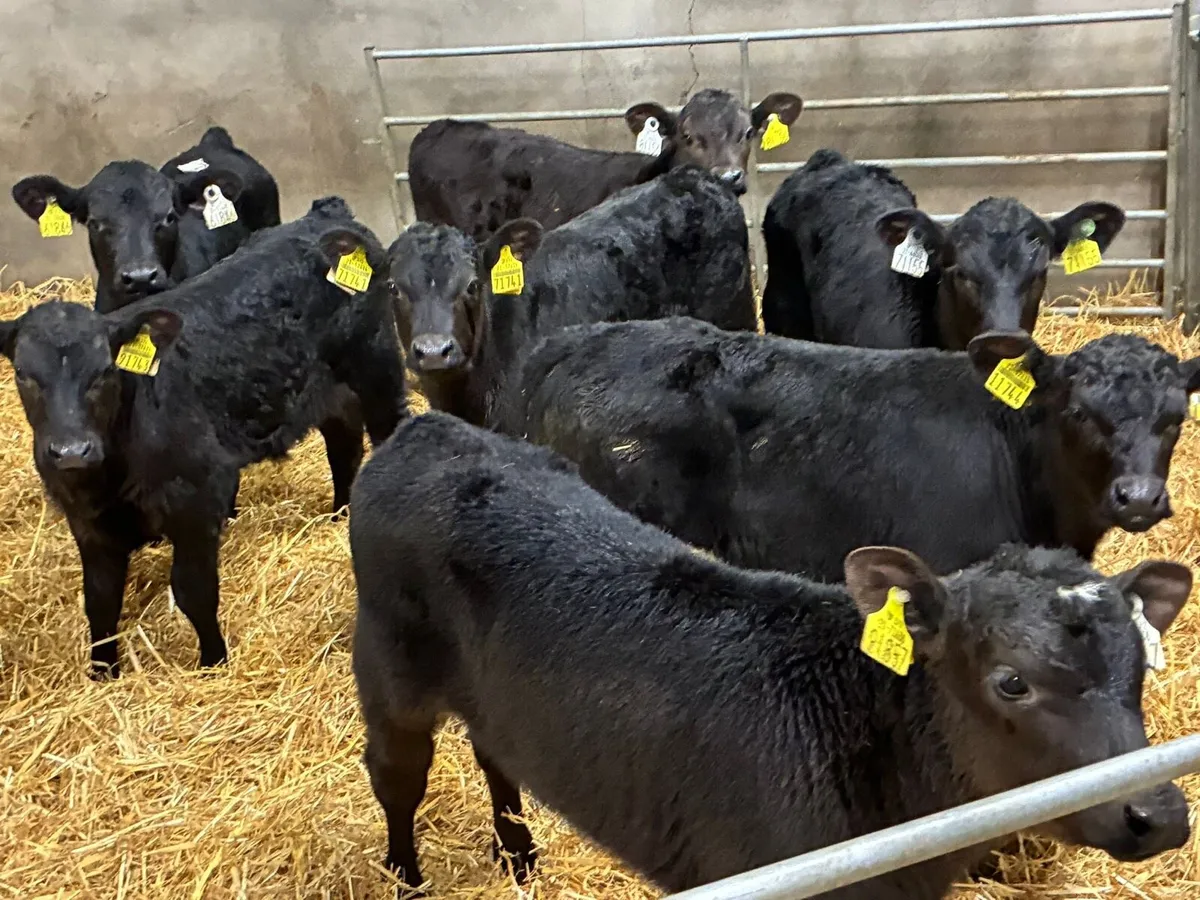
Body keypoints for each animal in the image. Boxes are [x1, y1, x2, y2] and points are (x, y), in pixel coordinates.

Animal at [0, 196, 406, 679]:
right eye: (24, 374)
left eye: (103, 372)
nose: (71, 451)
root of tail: (328, 213)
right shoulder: (88, 523)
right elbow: (99, 601)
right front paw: (102, 672)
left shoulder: (196, 499)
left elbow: (193, 591)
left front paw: (213, 661)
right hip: (329, 389)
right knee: (342, 443)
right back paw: (338, 512)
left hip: (378, 367)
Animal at [351, 412, 1191, 898]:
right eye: (1011, 682)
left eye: (1141, 669)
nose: (1157, 814)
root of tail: (429, 429)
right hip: (388, 671)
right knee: (395, 778)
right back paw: (405, 879)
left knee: (493, 749)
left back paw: (519, 854)